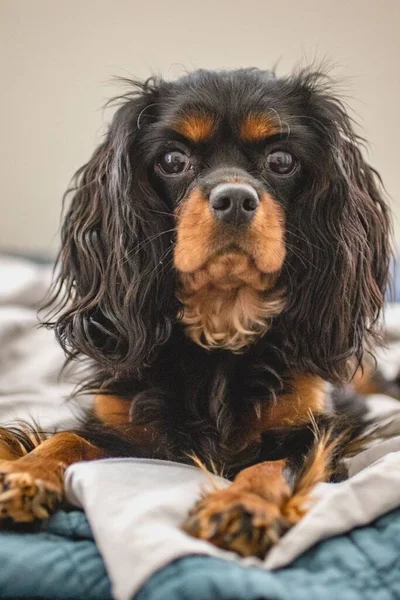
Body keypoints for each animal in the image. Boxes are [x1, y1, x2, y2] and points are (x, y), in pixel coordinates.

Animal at [0, 67, 390, 556]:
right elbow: (67, 439)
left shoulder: (319, 427)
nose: (235, 199)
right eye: (172, 159)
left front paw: (243, 506)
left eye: (282, 160)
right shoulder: (120, 426)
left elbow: (272, 464)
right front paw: (25, 474)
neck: (222, 323)